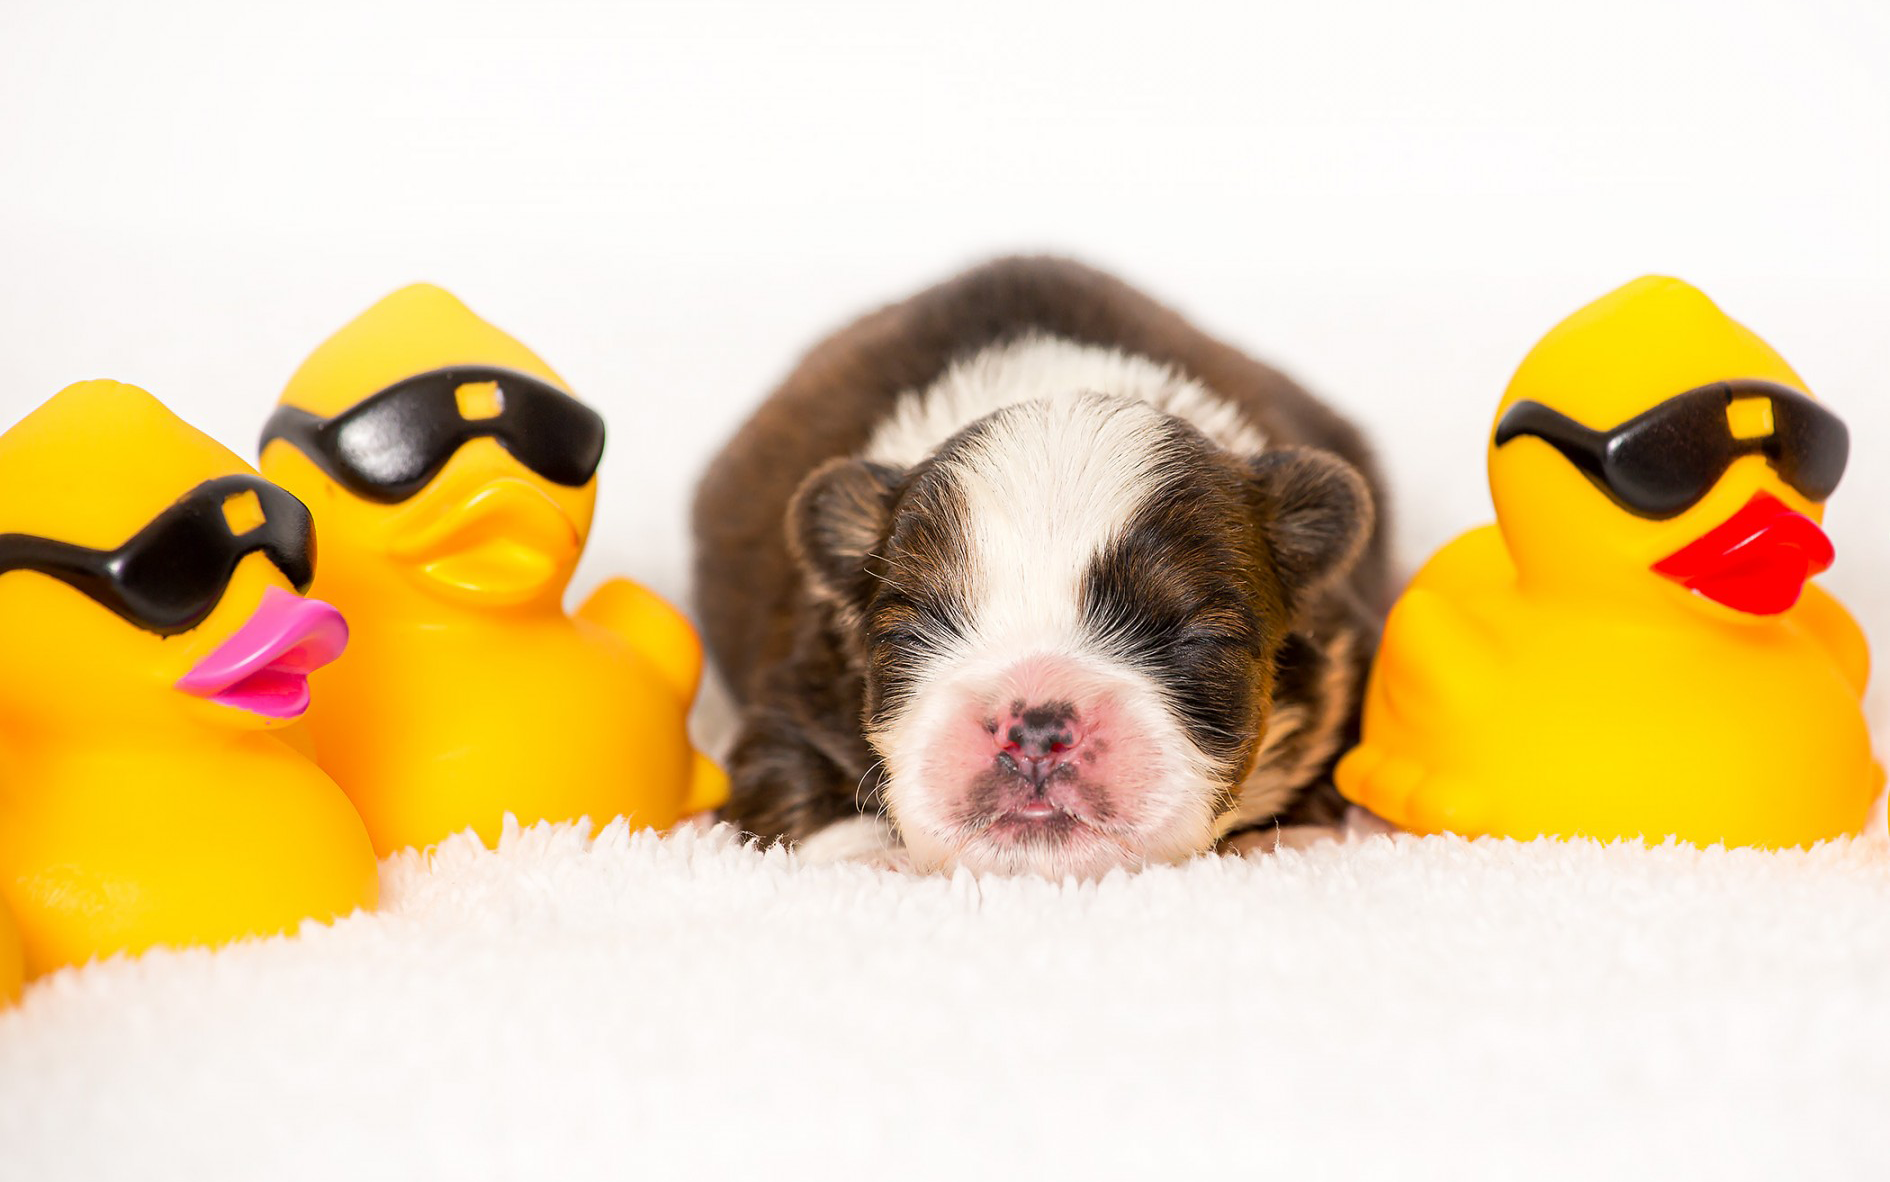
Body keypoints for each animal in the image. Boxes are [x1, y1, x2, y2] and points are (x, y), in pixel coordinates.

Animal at [695, 257, 1391, 877]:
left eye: (1195, 637)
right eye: (912, 631)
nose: (1034, 731)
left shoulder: (1348, 655)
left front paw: (1298, 839)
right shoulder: (796, 694)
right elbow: (793, 779)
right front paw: (875, 859)